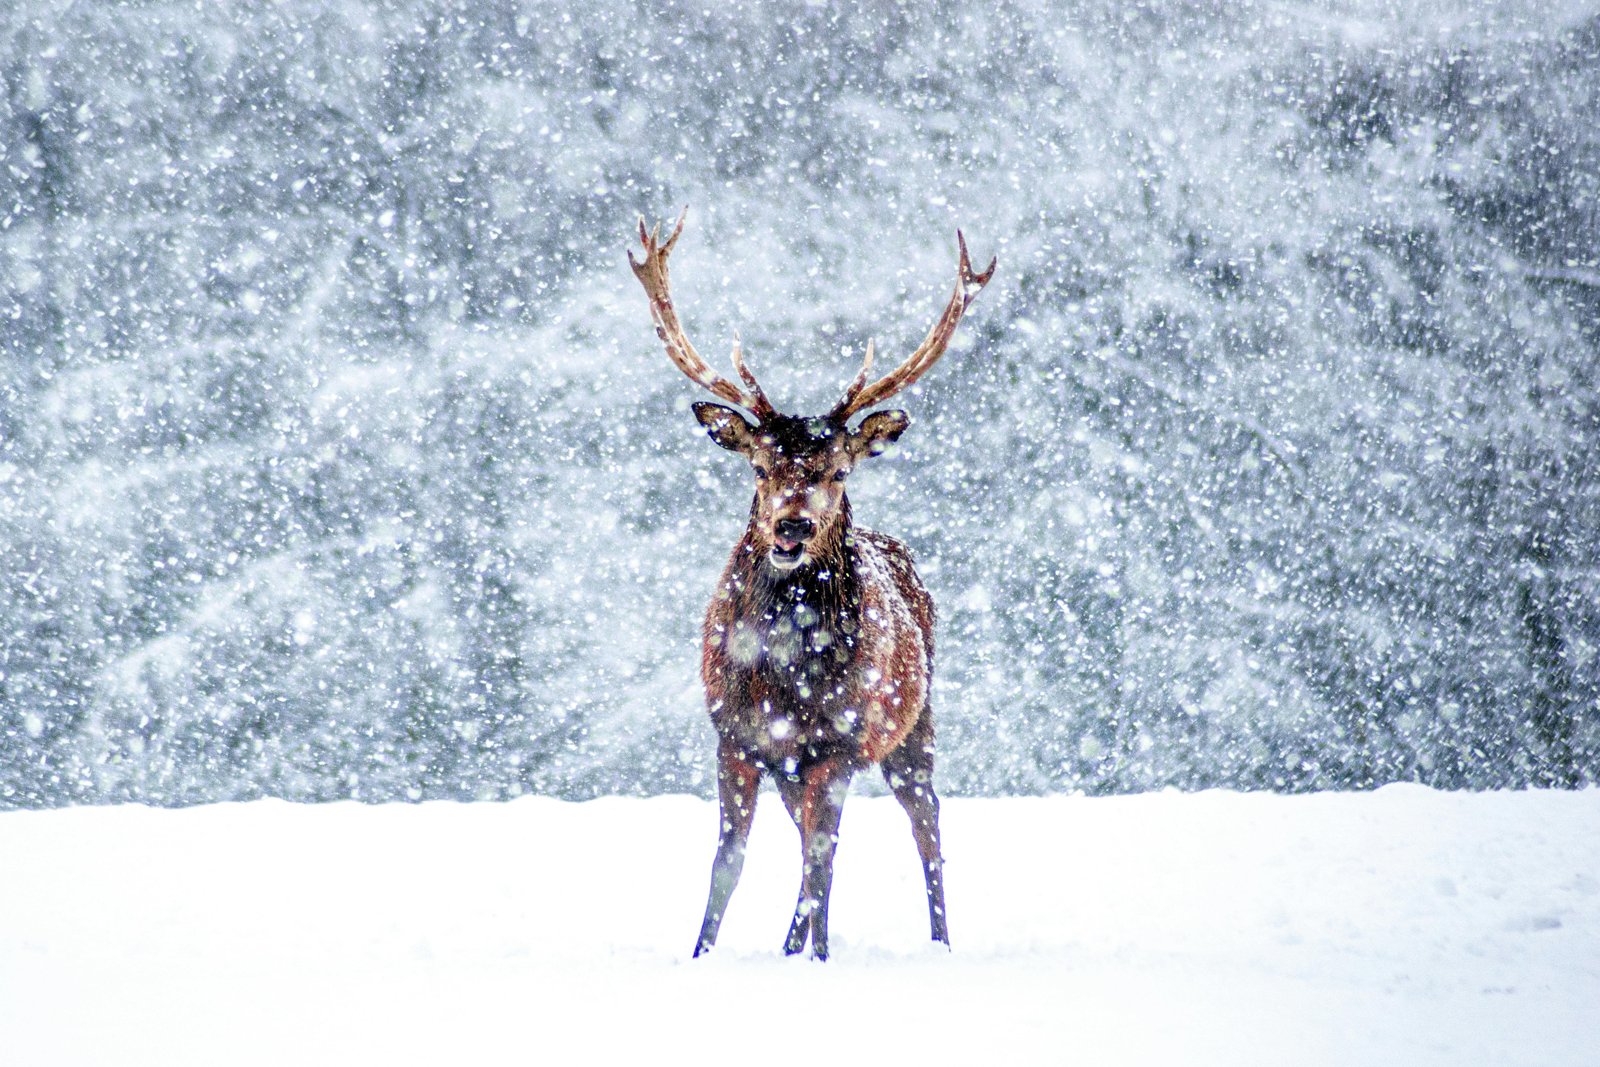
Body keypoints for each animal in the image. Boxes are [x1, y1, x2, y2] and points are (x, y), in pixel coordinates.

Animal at [628, 210, 994, 960]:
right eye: (760, 466)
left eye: (838, 470)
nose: (792, 526)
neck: (781, 673)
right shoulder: (736, 738)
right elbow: (729, 860)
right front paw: (704, 953)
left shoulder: (839, 743)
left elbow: (819, 859)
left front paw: (814, 956)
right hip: (795, 765)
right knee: (811, 839)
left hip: (911, 725)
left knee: (922, 823)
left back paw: (936, 941)